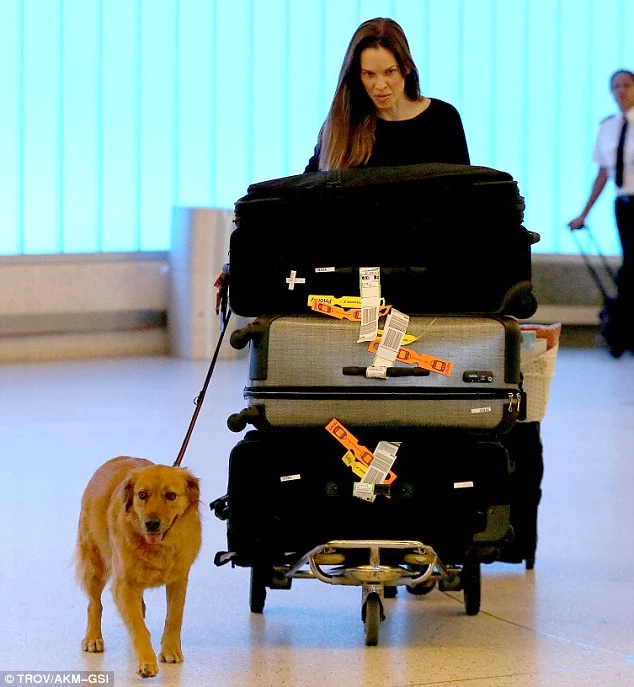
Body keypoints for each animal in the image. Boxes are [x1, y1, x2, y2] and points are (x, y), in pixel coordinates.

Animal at [75, 456, 201, 678]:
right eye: (142, 495)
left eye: (171, 496)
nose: (151, 524)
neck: (157, 547)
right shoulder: (124, 585)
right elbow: (139, 628)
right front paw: (147, 661)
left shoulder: (179, 580)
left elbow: (174, 617)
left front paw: (170, 650)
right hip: (94, 564)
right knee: (94, 604)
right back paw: (93, 638)